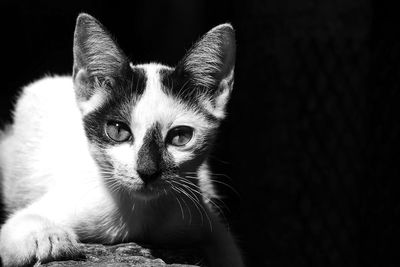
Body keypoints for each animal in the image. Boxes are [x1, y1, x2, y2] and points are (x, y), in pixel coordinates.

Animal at [0, 13, 244, 266]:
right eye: (117, 131)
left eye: (181, 136)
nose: (147, 171)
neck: (140, 216)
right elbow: (21, 225)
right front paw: (49, 239)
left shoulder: (202, 218)